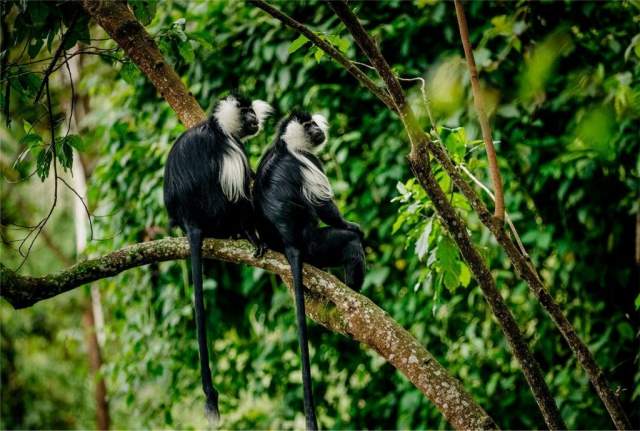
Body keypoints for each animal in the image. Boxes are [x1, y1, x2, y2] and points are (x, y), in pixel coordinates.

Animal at [164, 93, 272, 422]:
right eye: (247, 112)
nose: (255, 120)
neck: (217, 127)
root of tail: (191, 221)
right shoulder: (231, 150)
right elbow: (242, 193)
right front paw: (252, 234)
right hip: (217, 213)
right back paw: (243, 235)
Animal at [254, 110, 364, 428]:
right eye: (308, 125)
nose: (318, 128)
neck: (285, 145)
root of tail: (291, 242)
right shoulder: (309, 162)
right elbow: (326, 206)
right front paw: (351, 224)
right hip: (318, 244)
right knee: (349, 245)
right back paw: (354, 289)